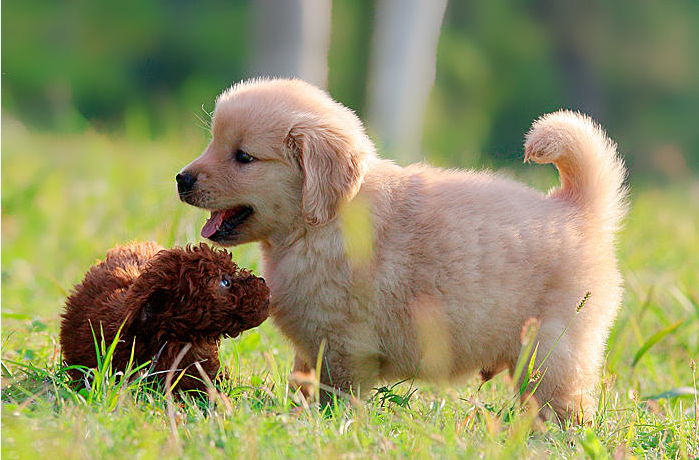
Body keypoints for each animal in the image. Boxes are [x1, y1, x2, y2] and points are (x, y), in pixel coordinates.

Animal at [178, 77, 628, 422]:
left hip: (550, 351)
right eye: (213, 142)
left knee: (565, 409)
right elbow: (304, 382)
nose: (181, 179)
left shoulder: (345, 347)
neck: (319, 224)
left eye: (243, 157)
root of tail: (578, 208)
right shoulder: (314, 348)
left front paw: (329, 425)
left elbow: (336, 395)